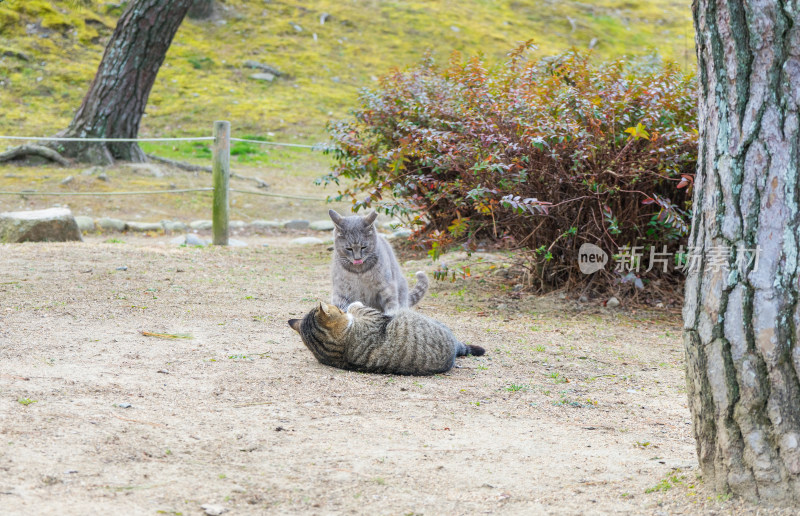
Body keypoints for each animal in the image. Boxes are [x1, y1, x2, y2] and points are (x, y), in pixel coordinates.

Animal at [290, 298, 484, 374]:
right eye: (338, 309)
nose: (340, 307)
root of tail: (454, 350)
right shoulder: (373, 317)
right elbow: (358, 307)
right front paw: (353, 306)